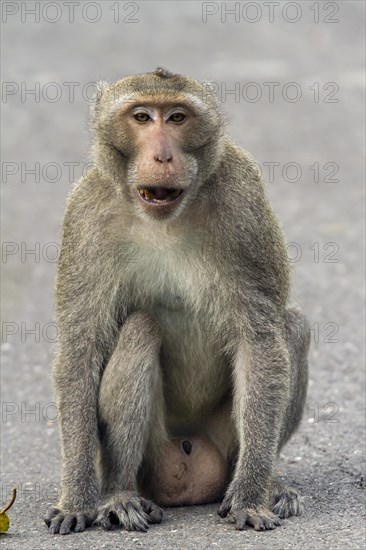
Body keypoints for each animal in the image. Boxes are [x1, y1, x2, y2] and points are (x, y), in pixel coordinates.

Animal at [44, 67, 310, 536]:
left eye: (178, 117)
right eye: (142, 117)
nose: (163, 157)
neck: (165, 219)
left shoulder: (244, 200)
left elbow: (259, 340)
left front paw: (251, 497)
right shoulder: (86, 214)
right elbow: (80, 347)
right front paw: (76, 498)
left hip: (224, 442)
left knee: (291, 326)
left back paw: (266, 483)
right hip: (155, 453)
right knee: (140, 328)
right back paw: (120, 493)